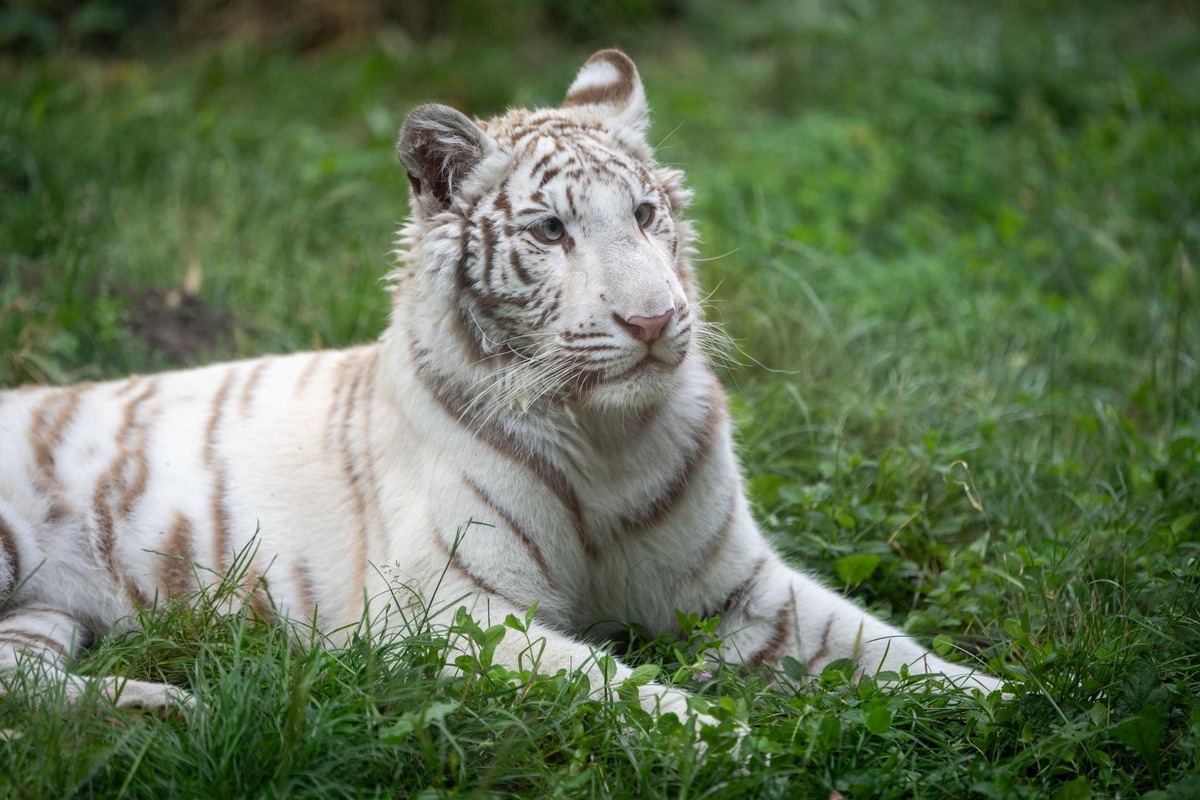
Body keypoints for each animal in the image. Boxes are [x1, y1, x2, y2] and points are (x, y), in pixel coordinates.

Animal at [0, 51, 1003, 719]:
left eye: (646, 214)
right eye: (552, 231)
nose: (654, 321)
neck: (609, 439)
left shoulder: (735, 588)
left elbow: (882, 644)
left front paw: (1012, 698)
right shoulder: (450, 613)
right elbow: (619, 685)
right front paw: (726, 740)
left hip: (44, 617)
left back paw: (160, 711)